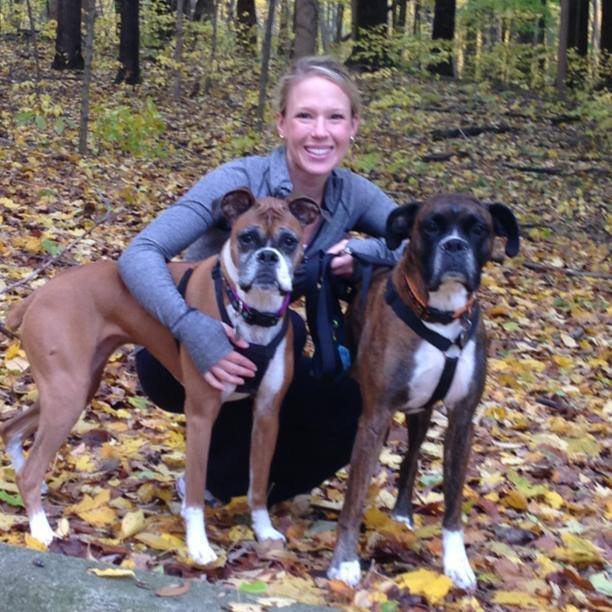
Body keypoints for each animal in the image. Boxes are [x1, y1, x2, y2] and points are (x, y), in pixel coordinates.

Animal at [328, 194, 520, 592]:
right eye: (431, 226)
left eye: (478, 228)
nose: (454, 246)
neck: (442, 316)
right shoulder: (375, 416)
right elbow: (354, 495)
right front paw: (345, 562)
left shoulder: (462, 421)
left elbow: (453, 499)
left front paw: (457, 562)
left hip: (420, 414)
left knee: (412, 457)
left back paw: (402, 514)